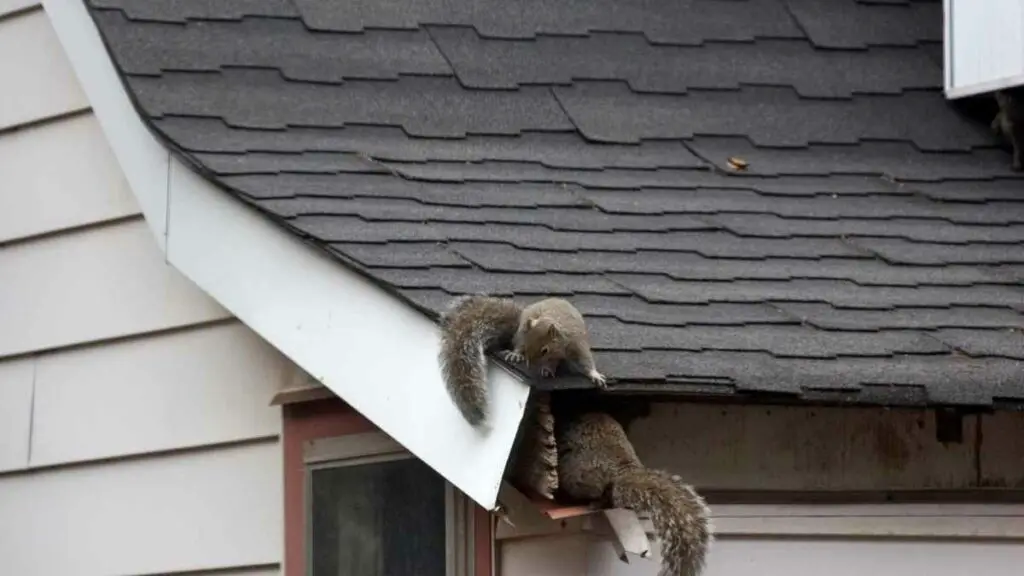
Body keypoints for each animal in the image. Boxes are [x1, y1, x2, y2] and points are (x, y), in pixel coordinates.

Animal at [436, 295, 602, 426]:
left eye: (544, 350)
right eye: (528, 345)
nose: (530, 365)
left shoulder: (576, 343)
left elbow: (585, 359)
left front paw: (595, 375)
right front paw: (518, 354)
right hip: (521, 330)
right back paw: (517, 355)